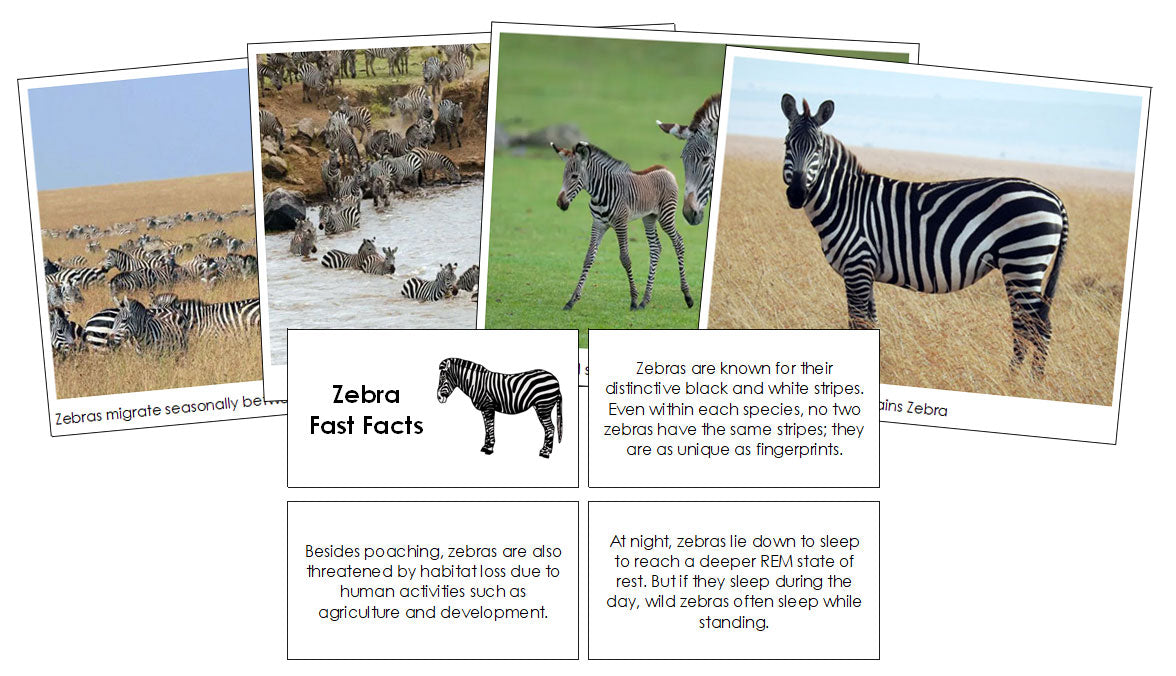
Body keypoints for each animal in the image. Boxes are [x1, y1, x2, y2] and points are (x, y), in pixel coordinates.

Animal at [552, 142, 692, 311]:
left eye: (574, 176)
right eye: (563, 176)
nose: (560, 203)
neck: (600, 195)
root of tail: (665, 168)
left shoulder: (621, 223)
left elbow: (625, 259)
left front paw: (633, 300)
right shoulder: (598, 224)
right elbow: (588, 257)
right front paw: (572, 300)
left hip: (666, 216)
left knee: (678, 242)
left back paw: (687, 296)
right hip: (649, 217)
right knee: (656, 248)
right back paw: (645, 300)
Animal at [778, 94, 1069, 375]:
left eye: (818, 149)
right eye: (786, 144)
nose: (797, 194)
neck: (845, 202)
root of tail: (1054, 197)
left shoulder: (857, 266)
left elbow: (856, 323)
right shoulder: (865, 271)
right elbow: (871, 323)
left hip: (1022, 261)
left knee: (1033, 327)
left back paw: (1021, 381)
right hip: (1022, 266)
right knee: (1032, 325)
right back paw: (1025, 379)